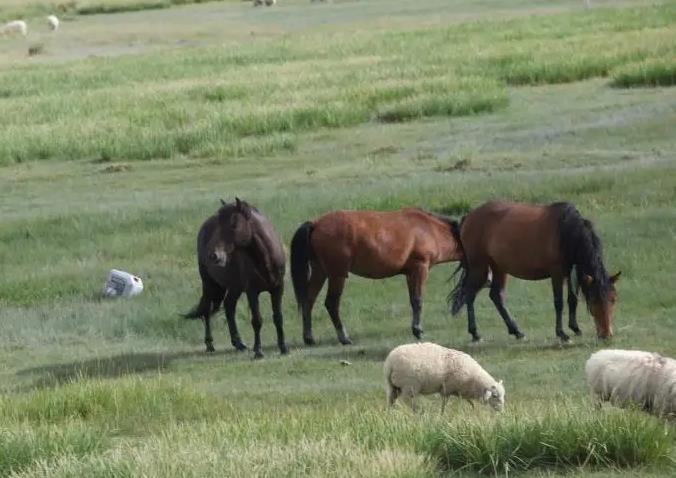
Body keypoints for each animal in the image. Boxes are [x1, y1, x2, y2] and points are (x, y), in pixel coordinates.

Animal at [185, 198, 288, 358]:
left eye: (233, 224)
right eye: (219, 225)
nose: (214, 255)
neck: (266, 258)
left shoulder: (277, 288)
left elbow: (278, 318)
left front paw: (283, 348)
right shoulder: (252, 291)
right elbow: (257, 320)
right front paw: (258, 351)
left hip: (235, 287)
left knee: (229, 306)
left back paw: (238, 343)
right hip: (209, 284)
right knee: (207, 310)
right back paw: (209, 344)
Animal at [288, 207, 462, 346]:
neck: (429, 228)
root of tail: (316, 224)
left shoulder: (410, 273)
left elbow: (413, 300)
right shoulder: (420, 268)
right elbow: (418, 301)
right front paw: (417, 330)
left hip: (320, 272)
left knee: (308, 300)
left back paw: (309, 338)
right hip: (337, 275)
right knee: (331, 303)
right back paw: (344, 338)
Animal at [452, 200, 620, 342]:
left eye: (613, 299)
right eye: (593, 301)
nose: (606, 335)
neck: (565, 231)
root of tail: (469, 216)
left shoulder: (571, 272)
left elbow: (572, 300)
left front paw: (575, 328)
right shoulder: (557, 273)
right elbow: (559, 302)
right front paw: (562, 333)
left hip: (498, 267)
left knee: (496, 296)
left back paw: (517, 331)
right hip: (478, 266)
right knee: (470, 295)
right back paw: (475, 333)